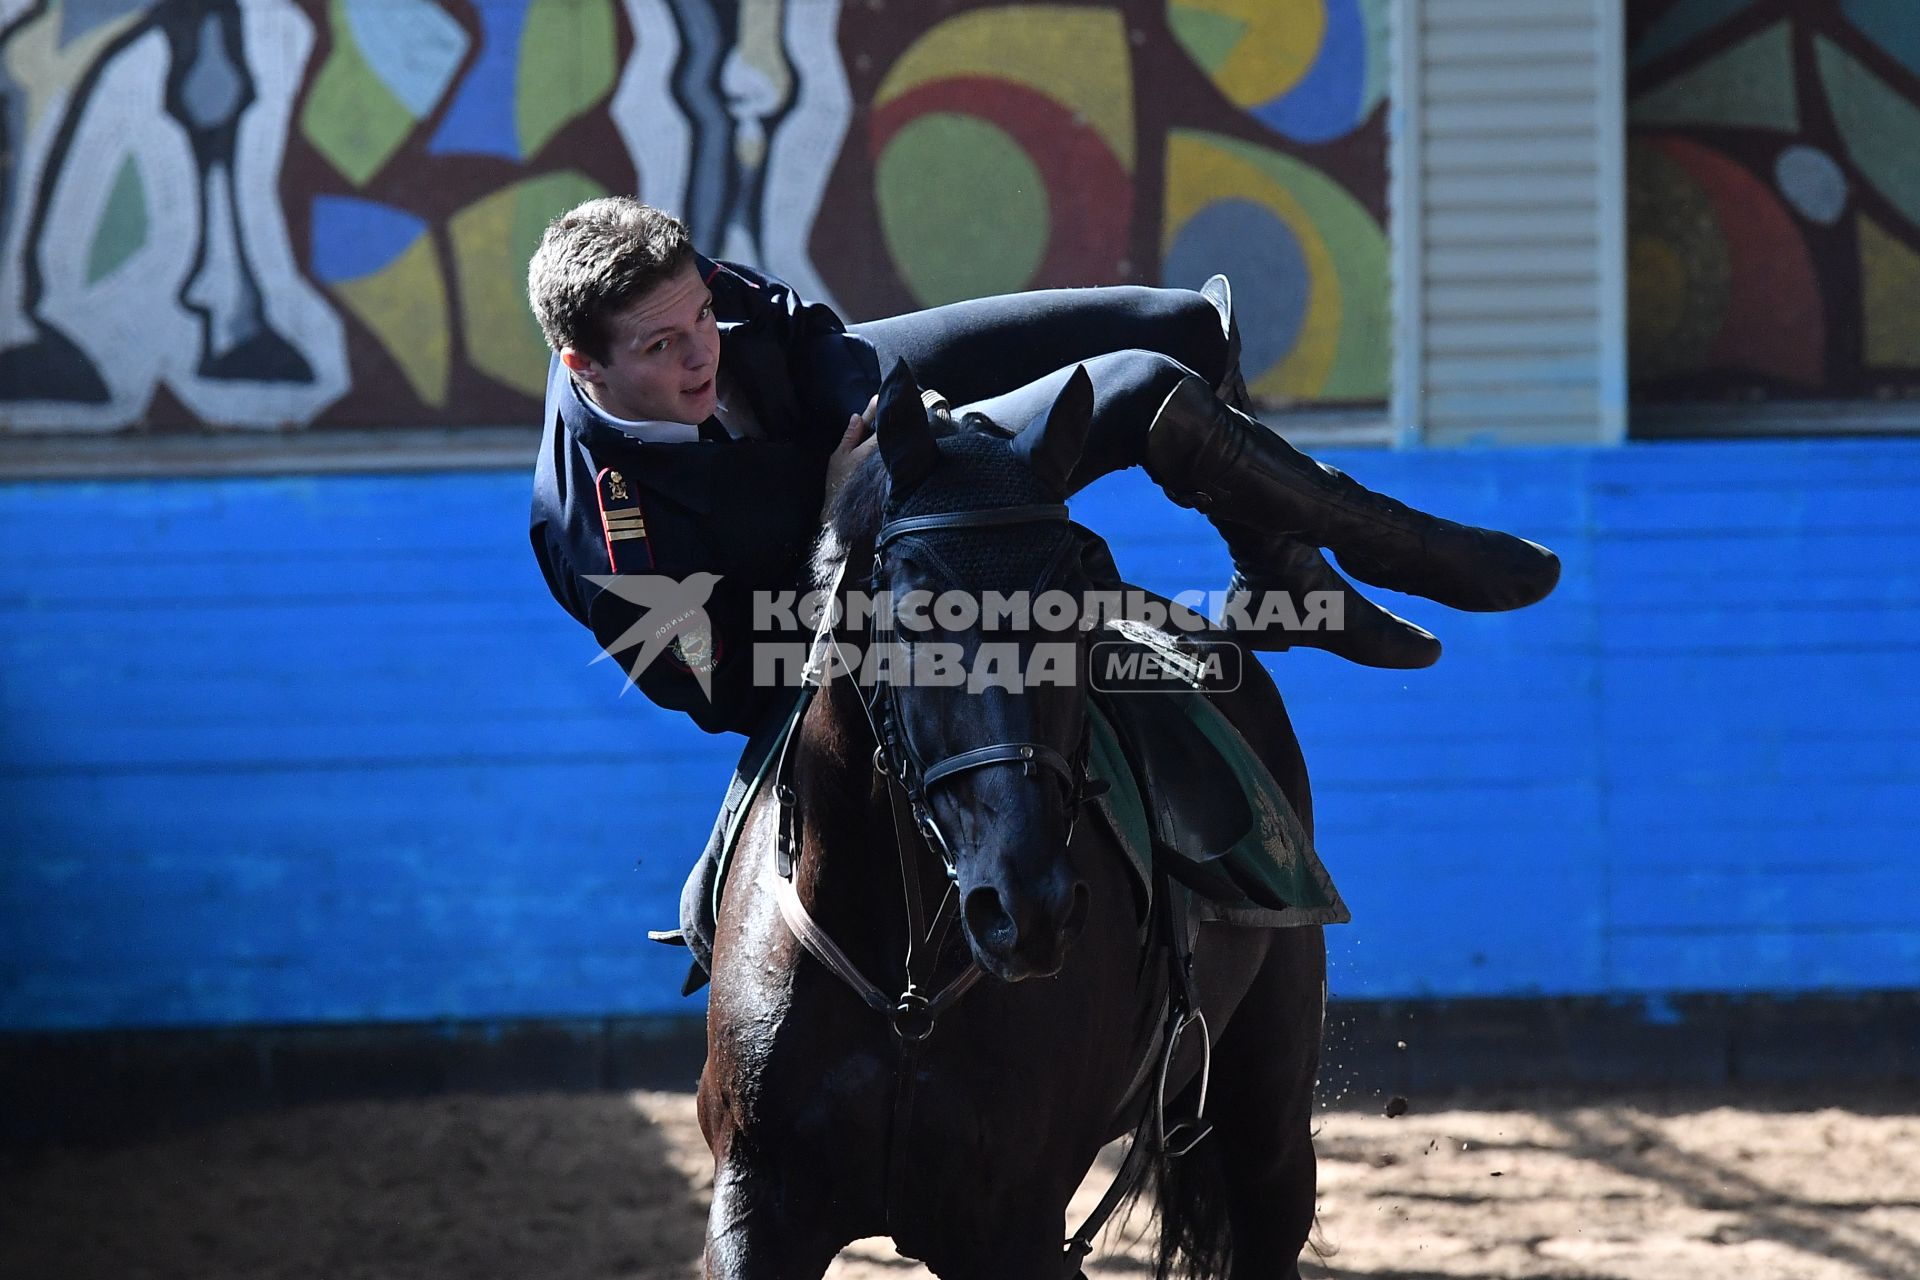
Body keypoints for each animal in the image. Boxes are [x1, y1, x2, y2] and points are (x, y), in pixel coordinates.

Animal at [698, 362, 1328, 1280]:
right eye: (914, 614)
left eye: (1075, 608)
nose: (1029, 906)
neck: (907, 986)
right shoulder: (757, 1207)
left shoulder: (1013, 1229)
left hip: (1270, 1125)